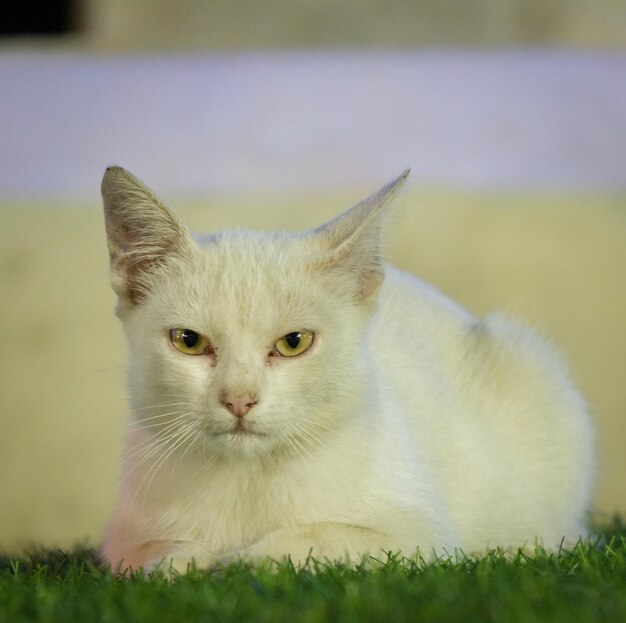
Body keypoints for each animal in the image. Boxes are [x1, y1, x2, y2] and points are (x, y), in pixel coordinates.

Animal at [100, 167, 592, 576]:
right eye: (189, 341)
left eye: (294, 342)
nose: (239, 399)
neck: (246, 479)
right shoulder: (121, 541)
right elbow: (153, 553)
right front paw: (181, 560)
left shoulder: (422, 536)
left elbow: (321, 536)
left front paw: (242, 560)